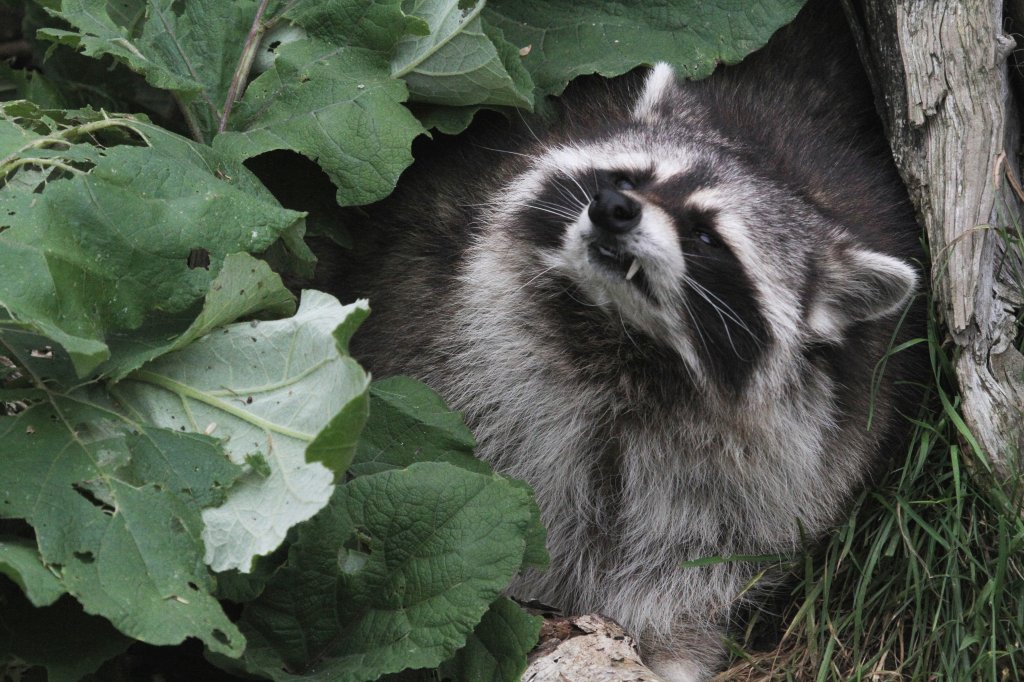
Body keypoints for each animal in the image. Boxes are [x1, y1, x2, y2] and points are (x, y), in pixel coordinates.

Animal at [321, 2, 929, 675]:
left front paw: (668, 643)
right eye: (627, 177)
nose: (613, 208)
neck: (621, 340)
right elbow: (502, 481)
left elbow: (702, 556)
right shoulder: (453, 342)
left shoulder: (790, 461)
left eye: (706, 235)